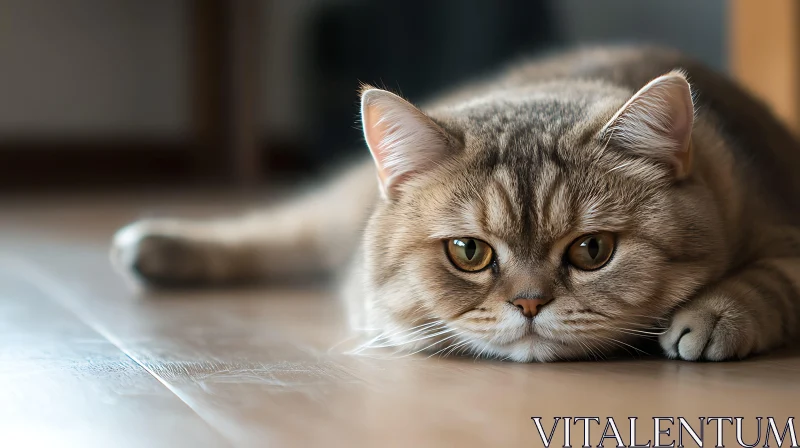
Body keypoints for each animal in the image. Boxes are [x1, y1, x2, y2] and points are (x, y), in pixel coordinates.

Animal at [109, 45, 800, 362]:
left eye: (592, 250)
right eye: (468, 252)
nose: (529, 304)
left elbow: (770, 279)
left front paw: (714, 314)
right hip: (335, 209)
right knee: (279, 232)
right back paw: (153, 246)